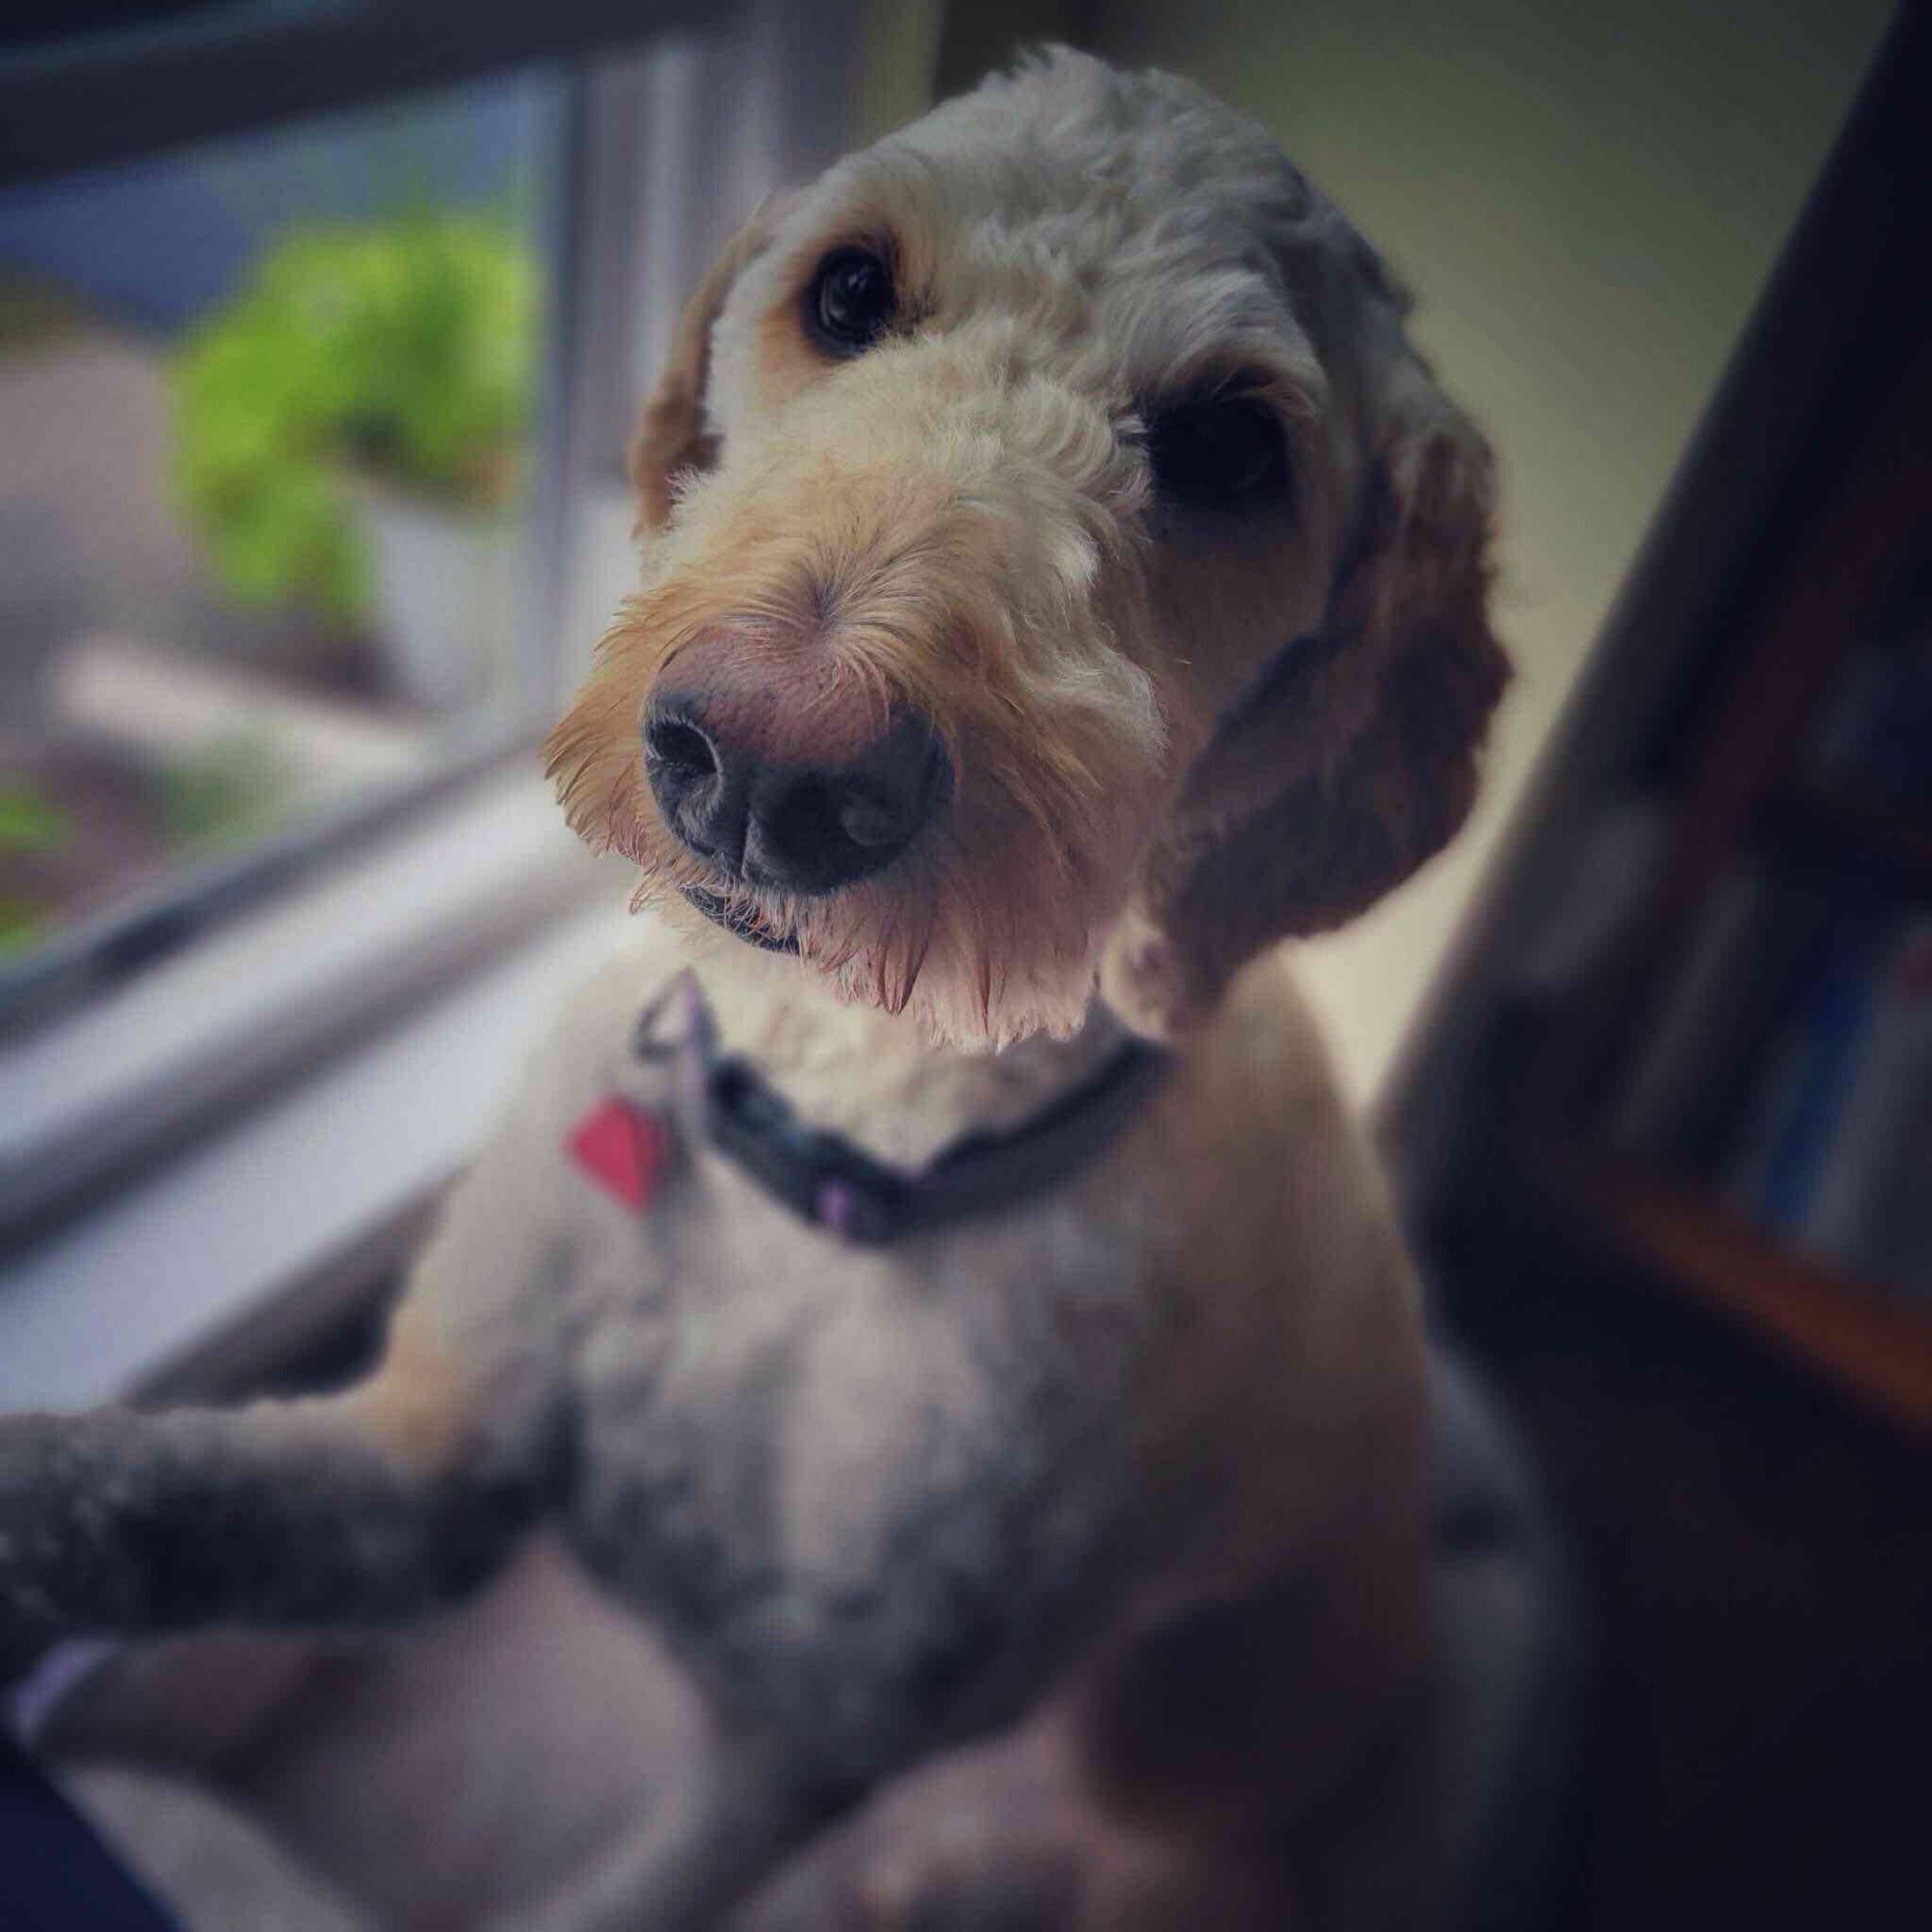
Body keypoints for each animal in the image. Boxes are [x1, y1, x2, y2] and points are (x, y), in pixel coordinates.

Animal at [1, 47, 1506, 1930]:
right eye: (847, 293)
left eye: (1237, 448)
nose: (768, 763)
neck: (823, 1158)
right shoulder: (433, 1457)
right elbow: (131, 1494)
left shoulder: (792, 1749)